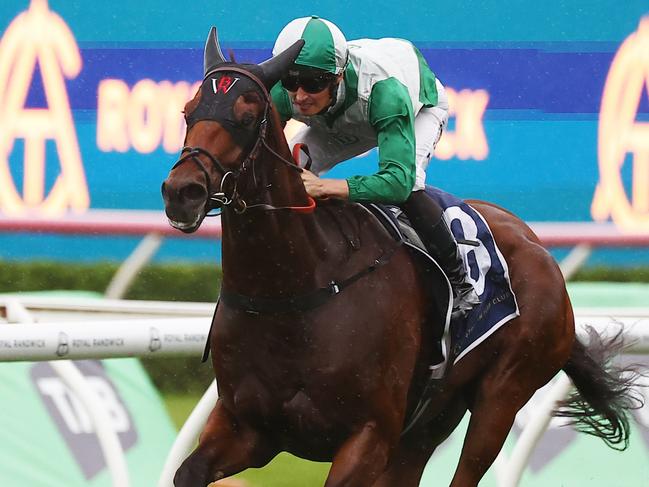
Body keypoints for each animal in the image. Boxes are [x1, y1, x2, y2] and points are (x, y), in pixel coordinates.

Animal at [161, 27, 636, 487]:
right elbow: (187, 473)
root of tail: (540, 249)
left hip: (503, 395)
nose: (182, 192)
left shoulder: (370, 436)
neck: (294, 288)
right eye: (188, 112)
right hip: (432, 418)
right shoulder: (247, 426)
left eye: (245, 117)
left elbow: (400, 176)